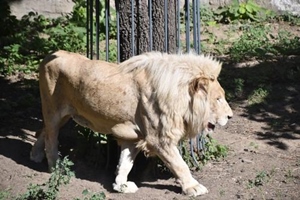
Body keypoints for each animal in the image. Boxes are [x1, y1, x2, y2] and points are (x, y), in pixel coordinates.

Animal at [29, 50, 232, 197]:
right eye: (218, 99)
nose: (230, 116)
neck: (178, 97)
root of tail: (51, 55)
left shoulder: (133, 135)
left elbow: (125, 163)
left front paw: (121, 185)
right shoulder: (159, 138)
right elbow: (179, 164)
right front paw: (193, 187)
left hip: (65, 115)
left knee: (43, 131)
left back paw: (35, 155)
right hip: (53, 111)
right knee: (51, 138)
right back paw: (55, 167)